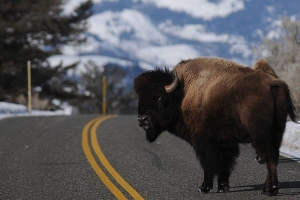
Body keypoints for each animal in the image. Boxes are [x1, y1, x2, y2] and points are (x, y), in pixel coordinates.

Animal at [134, 57, 298, 196]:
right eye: (140, 97)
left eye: (159, 97)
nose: (142, 119)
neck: (183, 93)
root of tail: (273, 83)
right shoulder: (225, 143)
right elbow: (224, 164)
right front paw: (222, 187)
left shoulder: (203, 141)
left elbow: (209, 163)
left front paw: (204, 187)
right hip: (277, 131)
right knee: (274, 156)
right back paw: (266, 188)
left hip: (259, 134)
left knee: (269, 156)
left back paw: (271, 190)